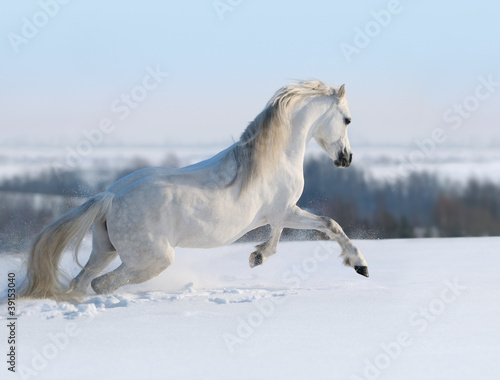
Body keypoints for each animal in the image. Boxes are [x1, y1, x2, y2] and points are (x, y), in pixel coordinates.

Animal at [21, 81, 368, 302]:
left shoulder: (278, 214)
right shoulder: (286, 210)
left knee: (82, 282)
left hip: (104, 249)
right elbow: (330, 224)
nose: (346, 159)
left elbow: (278, 235)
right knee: (101, 283)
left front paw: (257, 256)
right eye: (347, 120)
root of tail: (110, 197)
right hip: (153, 259)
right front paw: (359, 264)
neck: (274, 158)